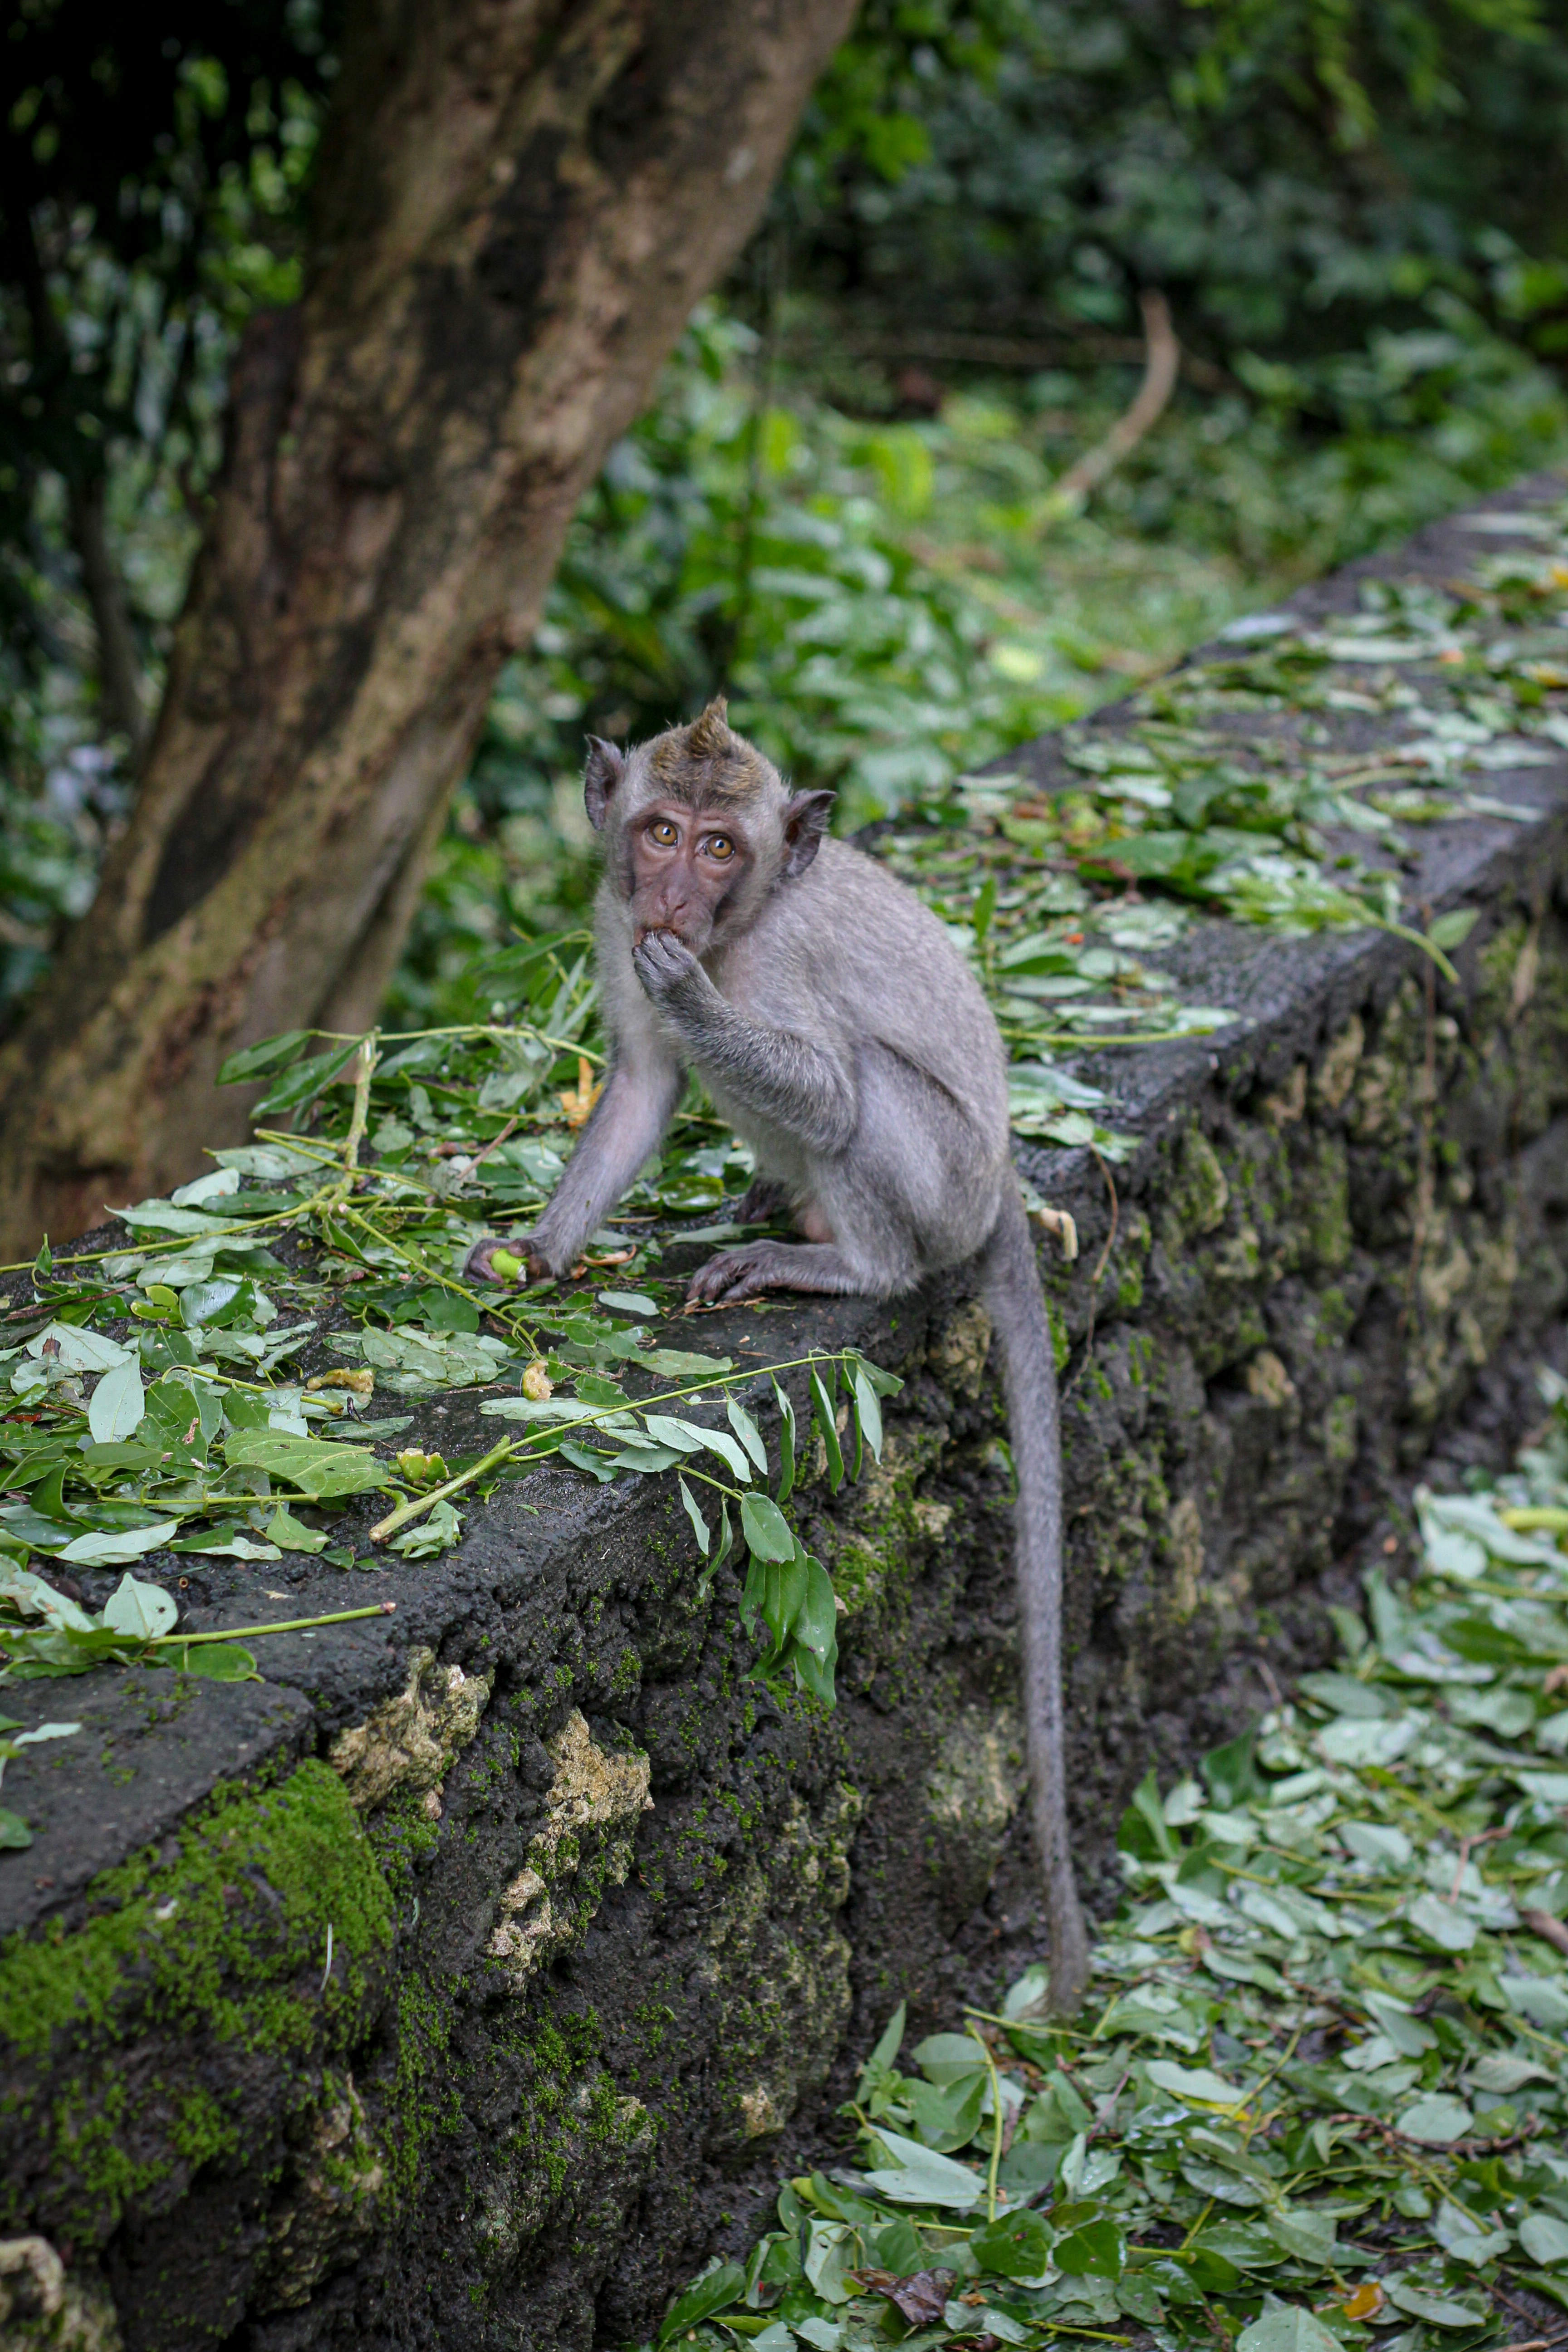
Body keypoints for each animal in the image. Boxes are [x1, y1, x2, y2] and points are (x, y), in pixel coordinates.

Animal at [465, 698, 1090, 2013]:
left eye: (720, 848)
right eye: (658, 831)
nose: (670, 896)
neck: (740, 925)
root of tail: (1004, 1187)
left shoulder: (778, 960)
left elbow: (822, 1082)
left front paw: (700, 1003)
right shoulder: (613, 923)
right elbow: (641, 1085)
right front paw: (541, 1252)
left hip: (943, 1186)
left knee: (862, 1103)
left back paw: (839, 1261)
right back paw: (771, 1204)